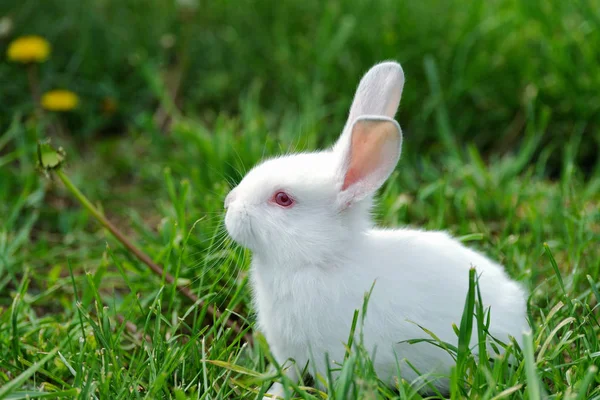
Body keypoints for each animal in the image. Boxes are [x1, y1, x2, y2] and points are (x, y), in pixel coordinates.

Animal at [223, 61, 528, 396]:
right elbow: (285, 376)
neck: (320, 260)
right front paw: (271, 395)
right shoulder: (286, 352)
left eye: (283, 199)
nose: (228, 202)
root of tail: (519, 305)